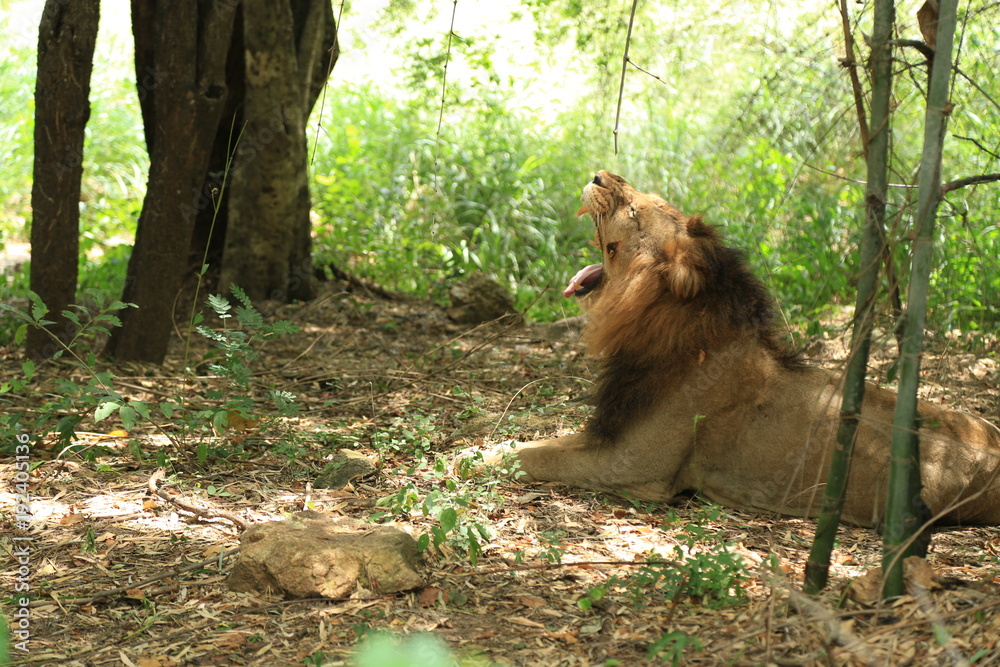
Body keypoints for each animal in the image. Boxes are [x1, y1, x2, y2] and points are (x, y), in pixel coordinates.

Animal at [505, 170, 1000, 528]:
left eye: (634, 210)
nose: (599, 175)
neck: (653, 325)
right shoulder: (610, 434)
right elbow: (530, 443)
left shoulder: (632, 467)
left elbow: (530, 457)